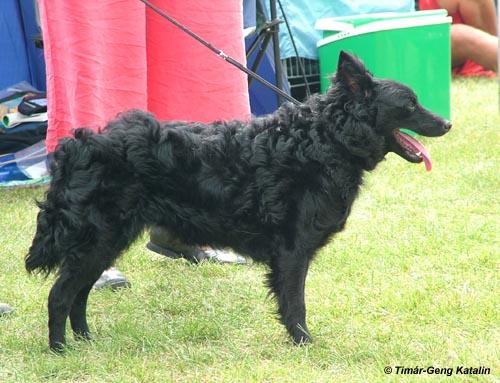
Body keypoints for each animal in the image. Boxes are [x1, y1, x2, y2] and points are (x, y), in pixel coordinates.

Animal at [25, 52, 452, 352]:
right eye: (409, 104)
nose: (447, 124)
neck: (323, 139)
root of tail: (78, 146)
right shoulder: (292, 251)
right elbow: (295, 303)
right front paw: (305, 344)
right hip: (97, 240)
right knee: (60, 295)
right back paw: (61, 351)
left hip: (106, 242)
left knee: (78, 294)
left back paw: (86, 342)